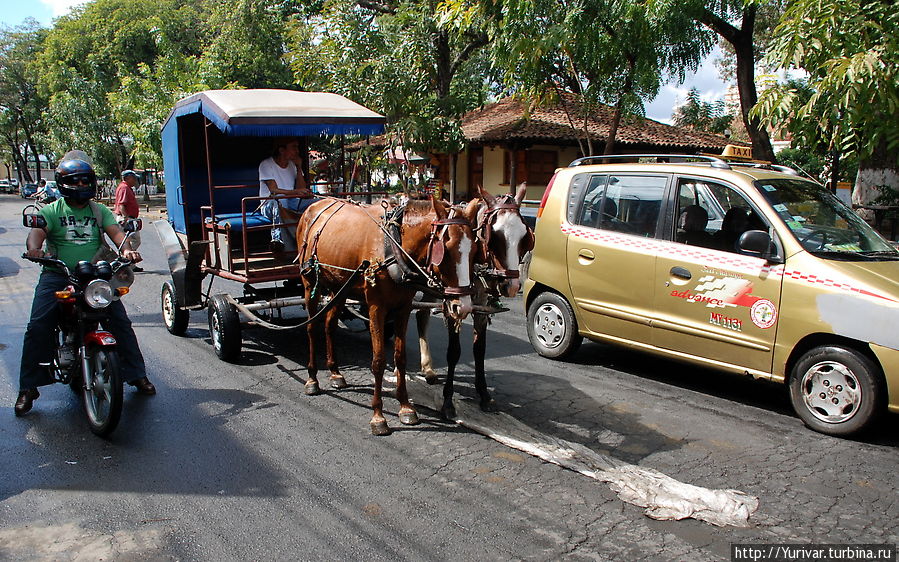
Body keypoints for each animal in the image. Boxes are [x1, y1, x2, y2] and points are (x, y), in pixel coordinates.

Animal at [296, 196, 482, 434]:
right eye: (446, 250)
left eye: (475, 250)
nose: (464, 307)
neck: (394, 246)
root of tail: (313, 206)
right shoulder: (377, 307)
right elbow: (378, 361)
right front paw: (378, 416)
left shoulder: (403, 307)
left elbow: (399, 358)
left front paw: (405, 407)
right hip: (310, 283)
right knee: (311, 328)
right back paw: (312, 379)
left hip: (339, 286)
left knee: (329, 325)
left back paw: (335, 372)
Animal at [414, 182, 536, 418]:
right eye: (495, 236)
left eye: (524, 236)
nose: (512, 286)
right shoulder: (453, 304)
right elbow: (454, 352)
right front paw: (448, 401)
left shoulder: (480, 306)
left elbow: (479, 350)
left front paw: (484, 394)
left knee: (421, 314)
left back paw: (428, 367)